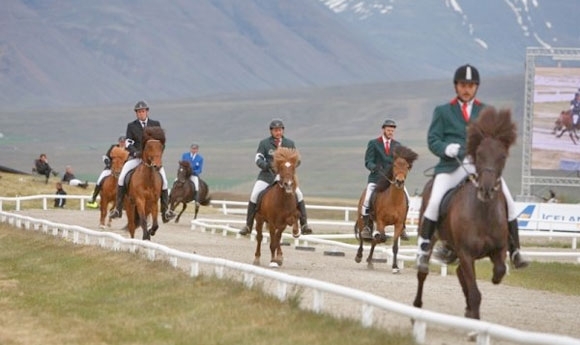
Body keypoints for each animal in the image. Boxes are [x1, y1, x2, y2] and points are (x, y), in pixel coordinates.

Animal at [412, 107, 516, 320]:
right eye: (479, 154)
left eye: (502, 156)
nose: (486, 190)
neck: (484, 213)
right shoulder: (466, 253)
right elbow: (475, 293)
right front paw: (473, 317)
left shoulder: (498, 249)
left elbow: (499, 271)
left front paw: (472, 310)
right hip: (431, 237)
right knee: (423, 272)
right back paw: (417, 306)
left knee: (461, 273)